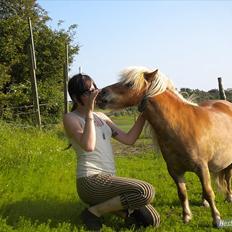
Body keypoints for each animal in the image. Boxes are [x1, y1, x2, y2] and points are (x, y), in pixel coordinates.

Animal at [97, 66, 232, 227]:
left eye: (129, 84)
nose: (100, 94)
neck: (180, 126)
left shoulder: (201, 167)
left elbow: (209, 192)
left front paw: (216, 219)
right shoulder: (174, 170)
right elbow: (182, 193)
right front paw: (186, 217)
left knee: (228, 178)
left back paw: (229, 197)